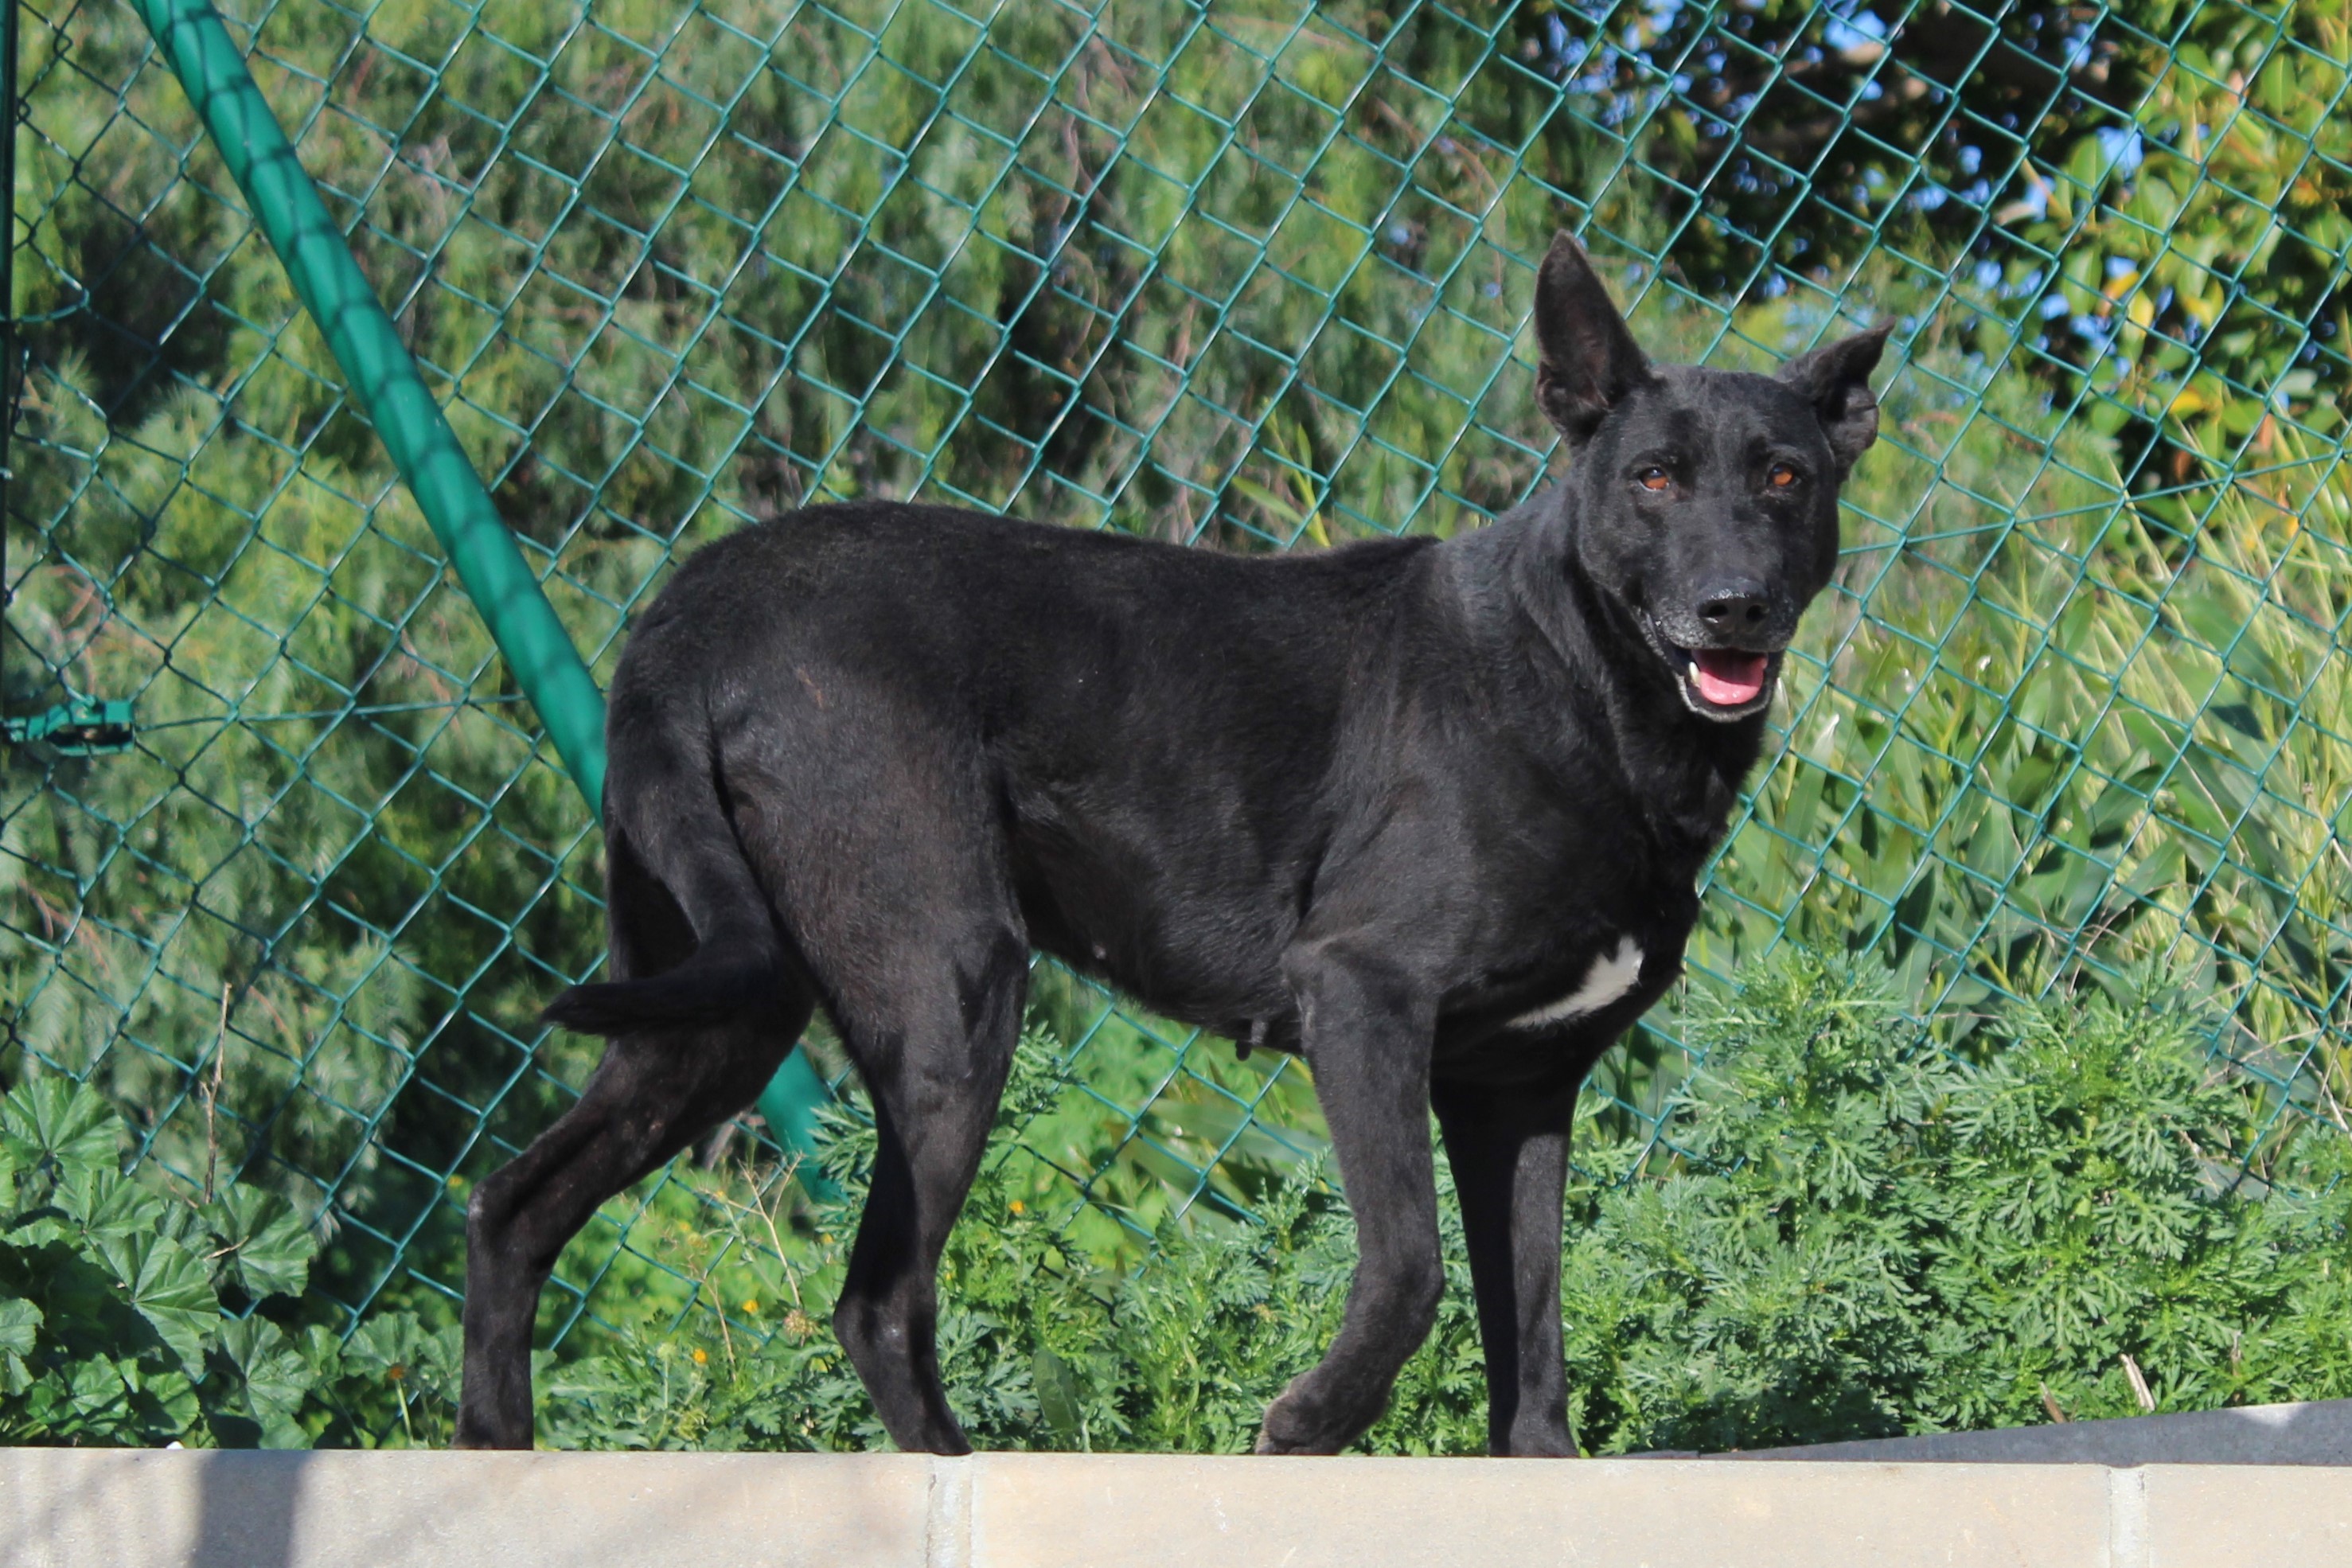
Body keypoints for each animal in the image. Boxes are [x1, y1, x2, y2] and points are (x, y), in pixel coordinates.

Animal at [458, 236, 1890, 1457]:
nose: (1733, 607)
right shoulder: (1361, 996)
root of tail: (695, 603)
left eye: (1785, 477)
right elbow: (1411, 1268)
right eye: (1652, 478)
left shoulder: (1520, 1090)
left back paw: (493, 1452)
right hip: (949, 986)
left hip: (716, 1008)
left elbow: (1531, 1338)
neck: (1584, 682)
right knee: (877, 1299)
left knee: (515, 1203)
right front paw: (1304, 1429)